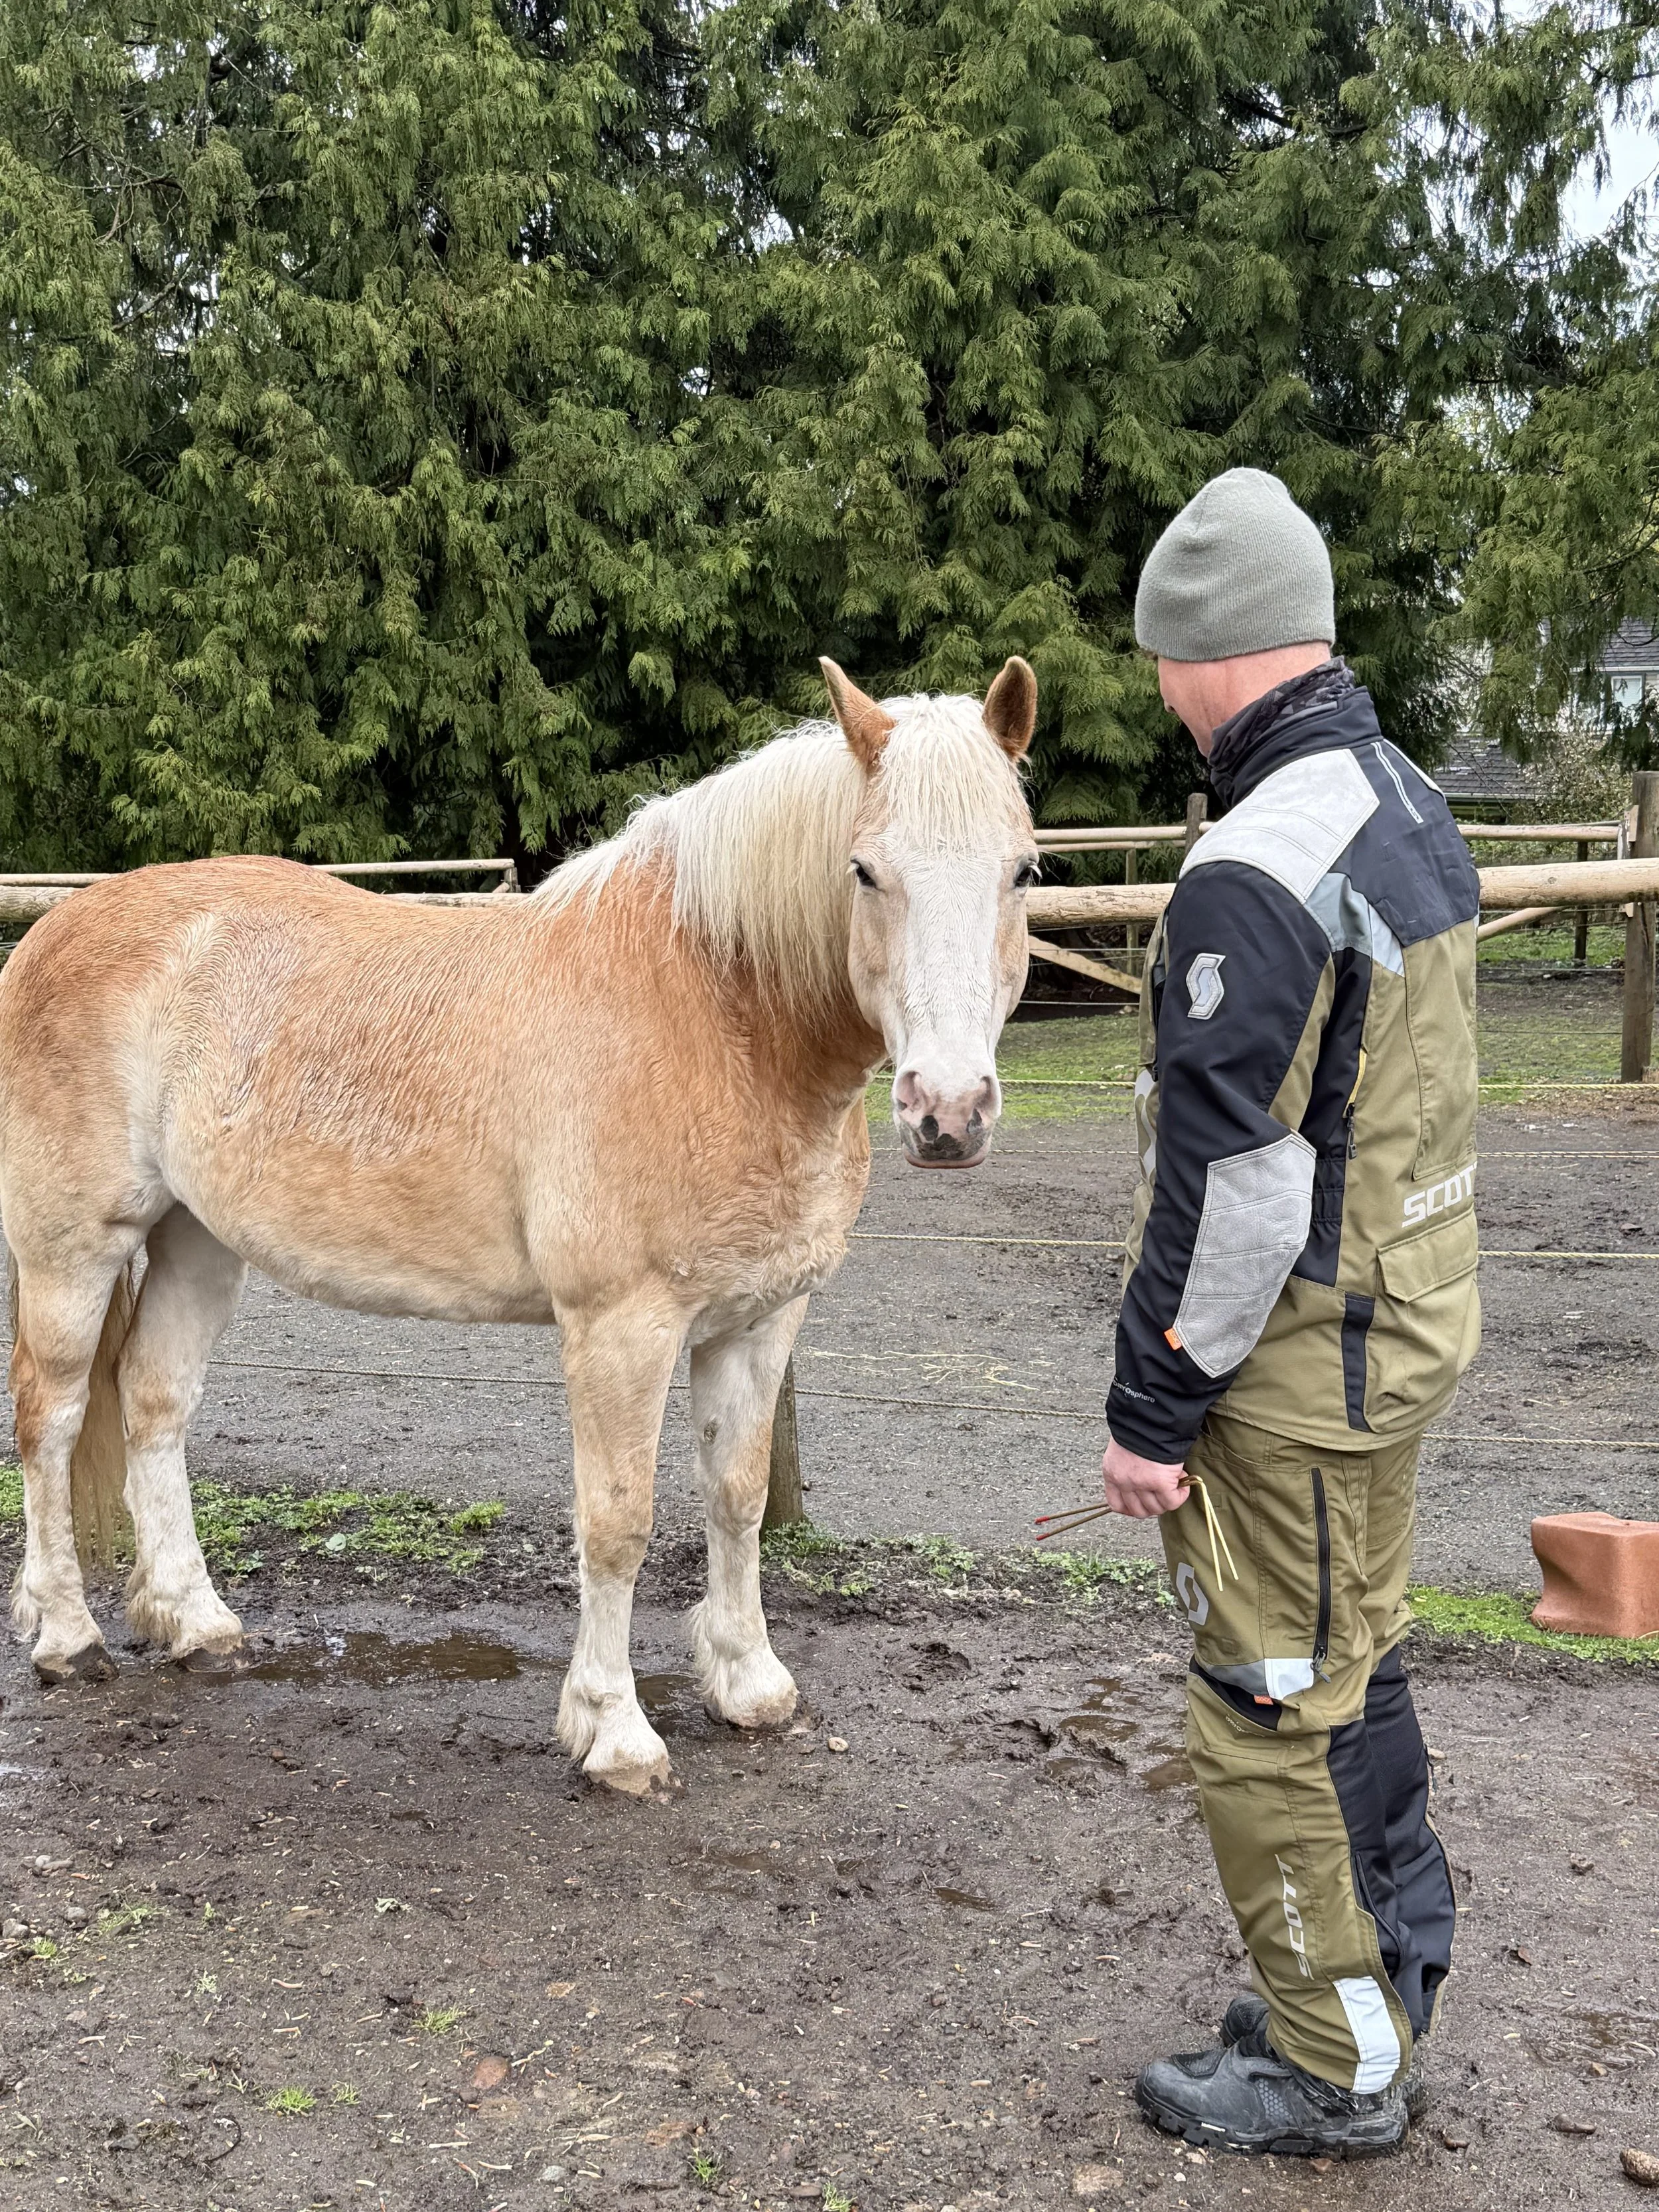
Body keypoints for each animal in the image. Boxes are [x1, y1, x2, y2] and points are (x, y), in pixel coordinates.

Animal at [0, 658, 1038, 1793]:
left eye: (1023, 872)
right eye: (863, 870)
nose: (949, 1112)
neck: (715, 1013)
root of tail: (49, 933)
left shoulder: (761, 1320)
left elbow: (737, 1495)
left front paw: (749, 1684)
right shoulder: (621, 1327)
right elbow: (619, 1520)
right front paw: (614, 1732)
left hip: (197, 1241)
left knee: (154, 1403)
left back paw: (196, 1623)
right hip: (73, 1249)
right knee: (51, 1418)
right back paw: (66, 1636)